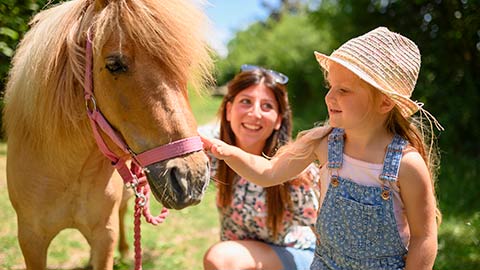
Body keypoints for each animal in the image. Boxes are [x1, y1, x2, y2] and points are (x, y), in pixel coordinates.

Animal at [1, 0, 212, 268]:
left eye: (184, 66)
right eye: (114, 65)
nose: (192, 178)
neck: (66, 170)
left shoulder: (105, 236)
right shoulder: (31, 240)